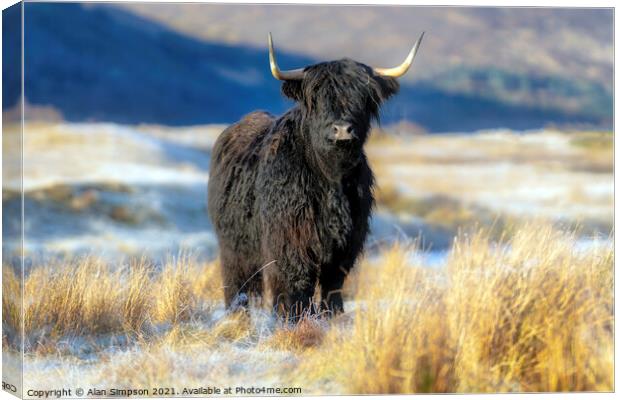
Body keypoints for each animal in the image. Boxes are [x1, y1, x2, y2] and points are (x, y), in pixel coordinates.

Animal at [206, 32, 424, 320]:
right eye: (317, 97)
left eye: (362, 96)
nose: (342, 129)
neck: (331, 177)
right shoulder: (290, 239)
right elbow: (297, 283)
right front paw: (292, 317)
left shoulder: (347, 243)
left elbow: (333, 284)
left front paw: (333, 315)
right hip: (234, 247)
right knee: (238, 282)